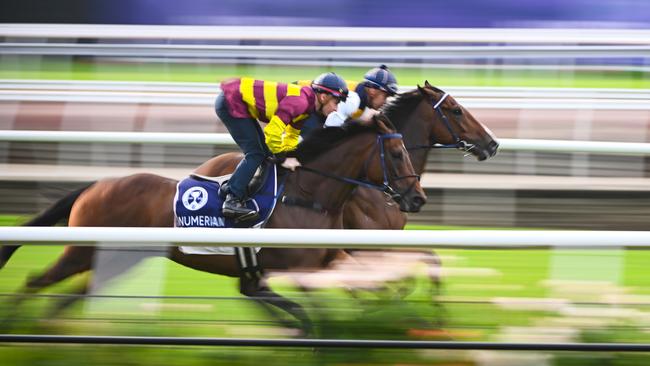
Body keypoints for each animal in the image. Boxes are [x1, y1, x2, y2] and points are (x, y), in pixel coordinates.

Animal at [1, 115, 426, 334]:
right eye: (396, 152)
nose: (418, 198)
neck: (306, 193)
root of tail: (95, 186)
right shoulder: (295, 269)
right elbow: (310, 313)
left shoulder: (325, 259)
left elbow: (365, 280)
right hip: (83, 251)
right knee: (37, 281)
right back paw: (21, 325)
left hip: (121, 259)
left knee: (68, 296)